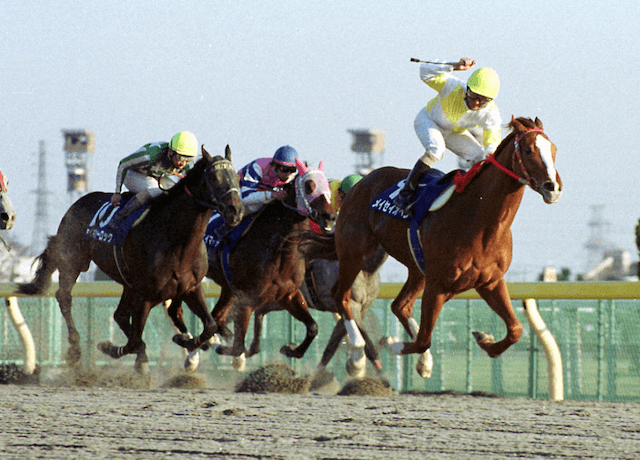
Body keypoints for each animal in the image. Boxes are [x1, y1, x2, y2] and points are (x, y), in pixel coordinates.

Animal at [18, 147, 245, 374]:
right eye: (214, 177)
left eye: (236, 177)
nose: (236, 211)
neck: (178, 241)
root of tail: (79, 202)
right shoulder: (146, 295)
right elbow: (136, 338)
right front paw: (126, 353)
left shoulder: (190, 288)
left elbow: (209, 326)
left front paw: (187, 343)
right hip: (73, 259)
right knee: (65, 297)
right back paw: (75, 349)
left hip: (127, 282)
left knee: (118, 315)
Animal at [170, 158, 340, 362]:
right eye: (309, 186)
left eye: (327, 186)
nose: (330, 217)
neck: (278, 250)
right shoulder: (247, 299)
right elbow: (238, 347)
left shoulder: (289, 295)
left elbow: (313, 327)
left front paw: (291, 350)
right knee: (177, 311)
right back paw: (190, 340)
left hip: (227, 288)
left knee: (216, 317)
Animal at [304, 117, 560, 378]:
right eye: (528, 150)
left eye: (553, 150)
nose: (553, 187)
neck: (480, 219)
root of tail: (361, 181)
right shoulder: (438, 286)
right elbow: (423, 339)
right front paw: (392, 343)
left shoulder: (490, 282)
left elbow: (516, 329)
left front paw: (485, 340)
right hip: (354, 252)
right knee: (341, 295)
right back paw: (357, 355)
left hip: (416, 268)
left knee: (399, 306)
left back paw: (422, 361)